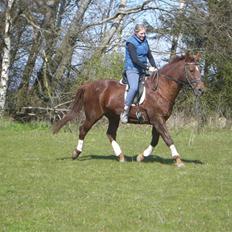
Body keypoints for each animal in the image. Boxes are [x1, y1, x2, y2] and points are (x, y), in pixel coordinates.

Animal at [53, 51, 205, 167]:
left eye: (200, 70)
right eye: (191, 70)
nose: (201, 90)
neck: (161, 89)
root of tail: (88, 85)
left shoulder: (159, 120)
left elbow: (155, 140)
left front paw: (141, 156)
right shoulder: (157, 119)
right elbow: (168, 138)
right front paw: (178, 160)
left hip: (113, 117)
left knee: (110, 134)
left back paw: (121, 156)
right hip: (93, 115)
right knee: (83, 129)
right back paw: (76, 153)